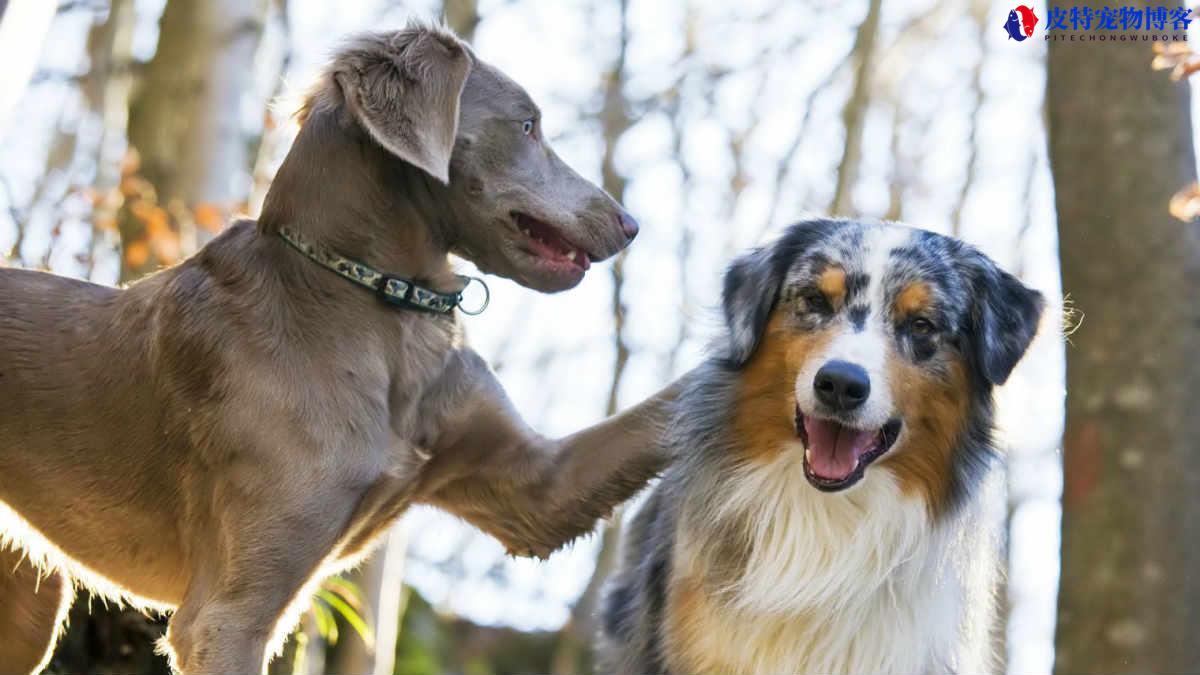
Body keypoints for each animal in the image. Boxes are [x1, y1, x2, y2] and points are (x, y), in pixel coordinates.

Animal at [0, 23, 676, 667]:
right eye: (528, 125)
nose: (632, 226)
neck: (374, 303)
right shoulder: (226, 617)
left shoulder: (535, 487)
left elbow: (661, 411)